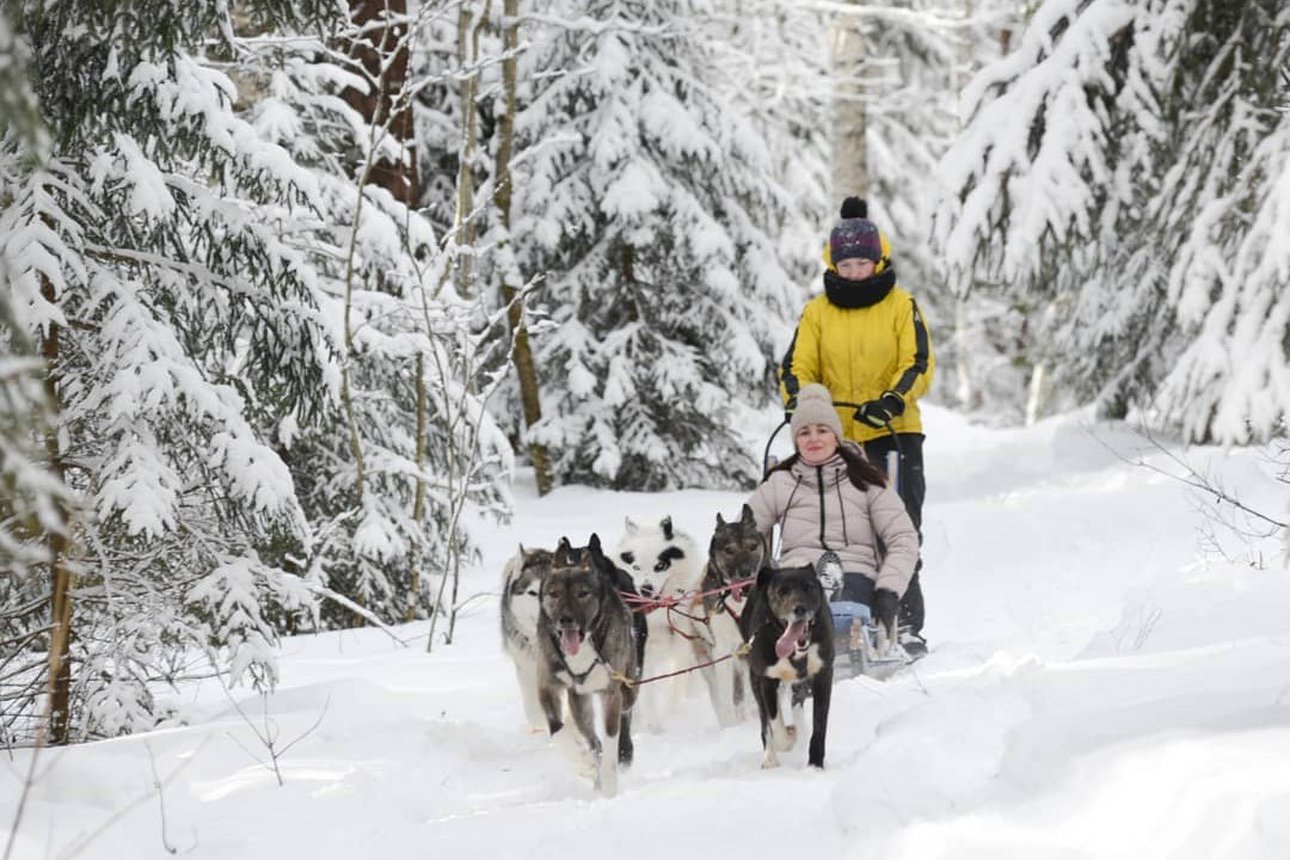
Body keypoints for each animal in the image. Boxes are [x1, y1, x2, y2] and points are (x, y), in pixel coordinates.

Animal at [531, 533, 637, 799]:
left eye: (583, 593)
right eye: (554, 593)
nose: (565, 620)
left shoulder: (611, 693)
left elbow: (610, 742)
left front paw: (609, 786)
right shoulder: (547, 685)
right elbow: (557, 730)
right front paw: (583, 760)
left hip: (629, 687)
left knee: (625, 717)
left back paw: (623, 754)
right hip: (579, 703)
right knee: (591, 738)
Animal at [608, 518, 701, 732]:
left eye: (660, 565)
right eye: (635, 567)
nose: (646, 589)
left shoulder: (681, 647)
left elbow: (676, 684)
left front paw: (671, 715)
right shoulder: (644, 651)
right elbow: (647, 691)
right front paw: (653, 724)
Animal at [686, 508, 763, 732]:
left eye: (753, 546)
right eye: (729, 550)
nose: (745, 573)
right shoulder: (723, 651)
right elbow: (727, 698)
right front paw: (731, 727)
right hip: (709, 661)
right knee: (721, 696)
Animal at [737, 564, 835, 768]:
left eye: (808, 587)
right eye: (782, 591)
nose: (800, 609)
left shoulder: (823, 674)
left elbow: (819, 724)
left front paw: (815, 764)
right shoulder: (766, 679)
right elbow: (773, 720)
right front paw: (786, 740)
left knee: (796, 704)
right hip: (755, 680)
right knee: (765, 719)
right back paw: (770, 757)